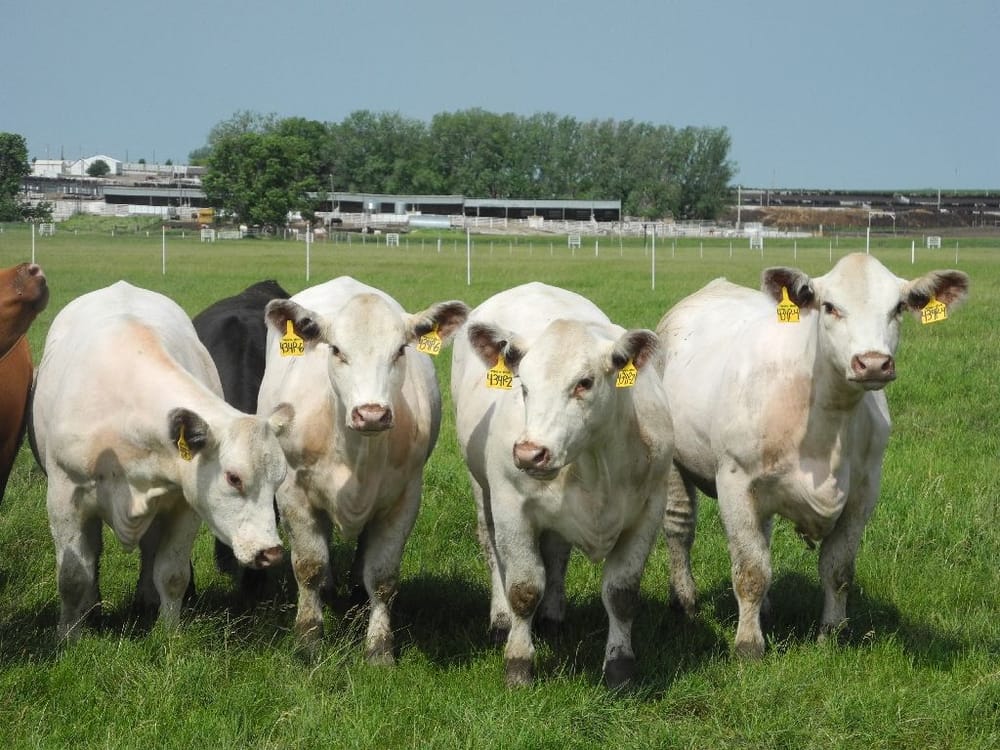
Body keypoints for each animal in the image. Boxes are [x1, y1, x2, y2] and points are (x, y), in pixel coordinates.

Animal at [256, 276, 468, 663]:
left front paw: (380, 649)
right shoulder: (293, 493)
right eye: (337, 350)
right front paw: (308, 639)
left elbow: (382, 578)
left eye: (400, 350)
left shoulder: (404, 498)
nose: (371, 413)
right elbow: (309, 566)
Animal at [451, 282, 673, 688]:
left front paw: (620, 666)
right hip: (482, 490)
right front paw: (518, 662)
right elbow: (523, 588)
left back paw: (553, 617)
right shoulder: (512, 507)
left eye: (584, 382)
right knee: (492, 548)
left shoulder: (649, 510)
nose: (529, 453)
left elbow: (621, 593)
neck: (595, 464)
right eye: (523, 385)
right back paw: (500, 621)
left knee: (556, 554)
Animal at [656, 253, 969, 658]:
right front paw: (748, 645)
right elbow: (750, 570)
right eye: (830, 306)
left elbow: (837, 570)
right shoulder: (735, 482)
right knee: (680, 529)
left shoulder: (864, 492)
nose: (872, 363)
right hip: (674, 464)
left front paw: (831, 634)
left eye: (898, 307)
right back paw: (684, 600)